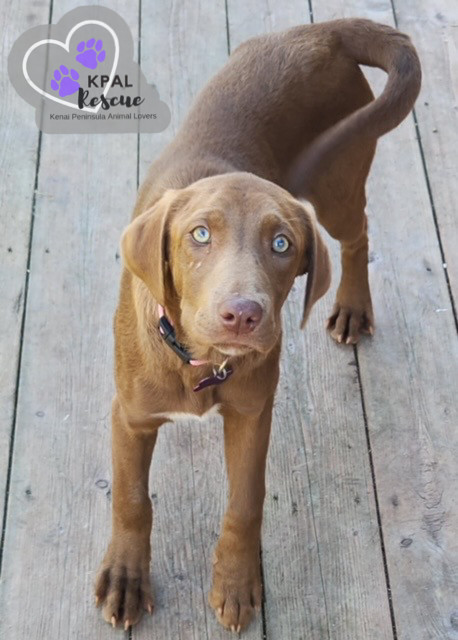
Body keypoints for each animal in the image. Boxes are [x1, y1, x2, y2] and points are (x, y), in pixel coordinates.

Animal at [95, 17, 420, 632]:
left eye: (282, 245)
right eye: (199, 234)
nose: (243, 314)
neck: (198, 362)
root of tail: (324, 32)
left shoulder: (251, 412)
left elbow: (245, 502)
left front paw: (237, 582)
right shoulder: (130, 416)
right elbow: (130, 499)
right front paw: (126, 577)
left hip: (337, 176)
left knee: (358, 233)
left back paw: (352, 306)